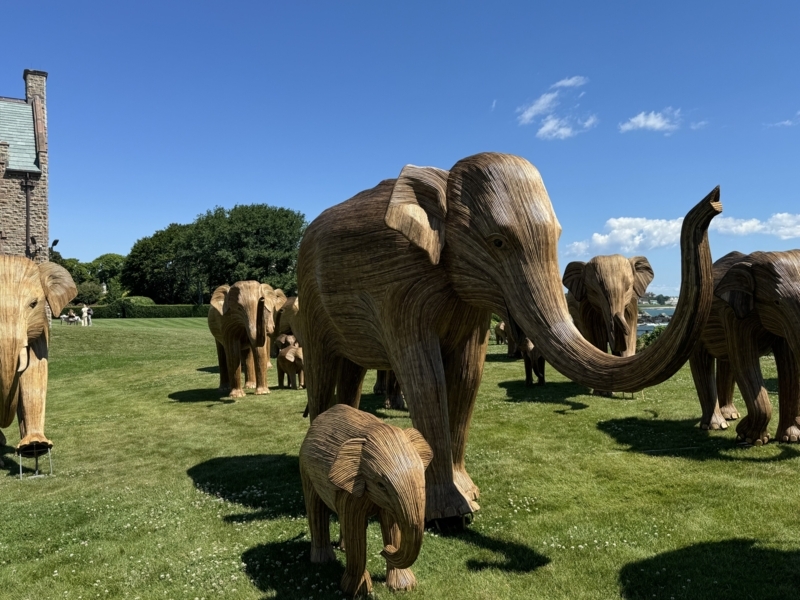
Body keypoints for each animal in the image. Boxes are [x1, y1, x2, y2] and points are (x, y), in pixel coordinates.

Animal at [295, 152, 721, 524]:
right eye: (498, 242)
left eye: (559, 235)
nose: (714, 200)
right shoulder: (400, 287)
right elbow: (426, 379)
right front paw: (449, 515)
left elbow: (468, 375)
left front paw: (470, 496)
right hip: (310, 300)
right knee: (320, 371)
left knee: (350, 371)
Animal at [300, 403, 432, 596]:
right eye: (381, 484)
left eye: (422, 475)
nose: (385, 550)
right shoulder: (351, 487)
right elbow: (355, 526)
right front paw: (357, 591)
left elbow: (390, 524)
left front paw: (403, 587)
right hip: (306, 468)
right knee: (315, 507)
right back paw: (322, 560)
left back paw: (343, 549)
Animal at [690, 250, 800, 445]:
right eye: (776, 302)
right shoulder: (734, 315)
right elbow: (745, 363)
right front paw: (749, 437)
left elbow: (790, 366)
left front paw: (791, 438)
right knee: (703, 362)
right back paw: (718, 425)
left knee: (727, 362)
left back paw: (731, 415)